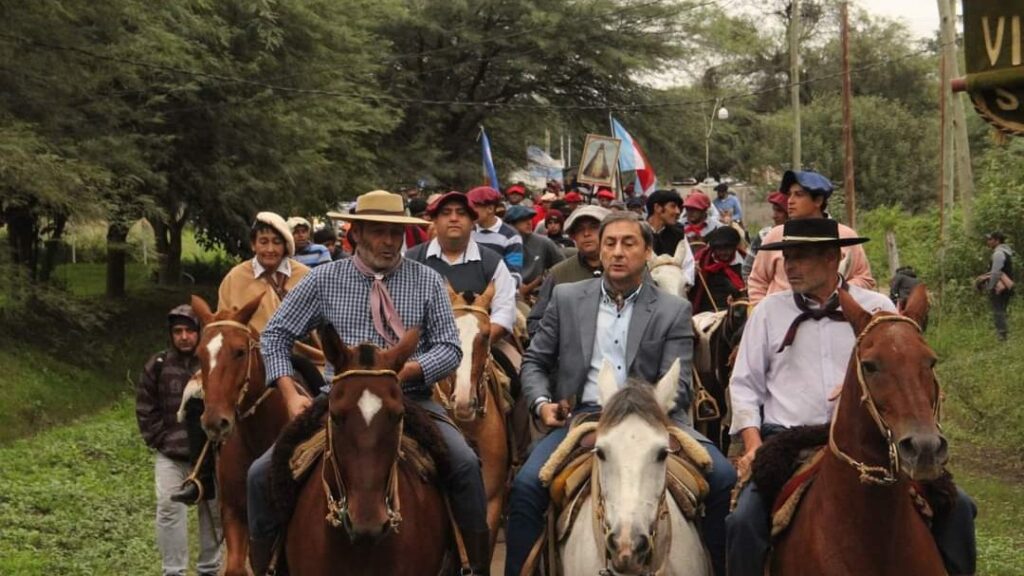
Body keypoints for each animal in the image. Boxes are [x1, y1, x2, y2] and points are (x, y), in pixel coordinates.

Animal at [191, 295, 292, 573]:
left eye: (240, 352)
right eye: (199, 355)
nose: (214, 421)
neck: (258, 439)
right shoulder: (234, 513)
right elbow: (237, 566)